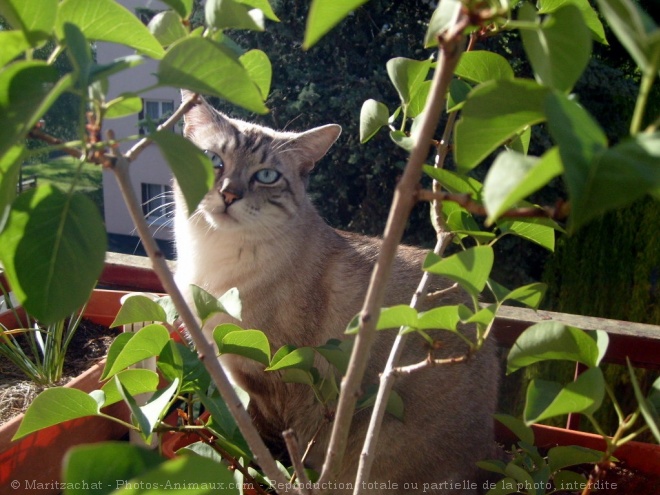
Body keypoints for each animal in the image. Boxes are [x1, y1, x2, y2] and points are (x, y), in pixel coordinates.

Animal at [175, 92, 500, 492]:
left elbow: (268, 458)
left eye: (266, 176)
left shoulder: (271, 383)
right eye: (214, 160)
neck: (211, 257)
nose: (229, 194)